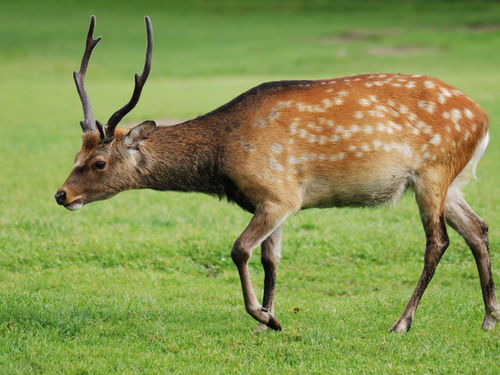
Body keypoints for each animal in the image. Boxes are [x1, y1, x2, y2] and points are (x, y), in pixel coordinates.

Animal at [54, 16, 496, 334]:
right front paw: (270, 320)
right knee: (478, 229)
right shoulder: (273, 202)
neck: (221, 158)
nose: (62, 194)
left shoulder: (279, 193)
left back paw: (402, 322)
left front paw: (263, 316)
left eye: (99, 163)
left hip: (432, 171)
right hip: (450, 181)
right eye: (76, 153)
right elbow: (271, 258)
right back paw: (489, 317)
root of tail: (482, 118)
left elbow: (240, 250)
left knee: (438, 241)